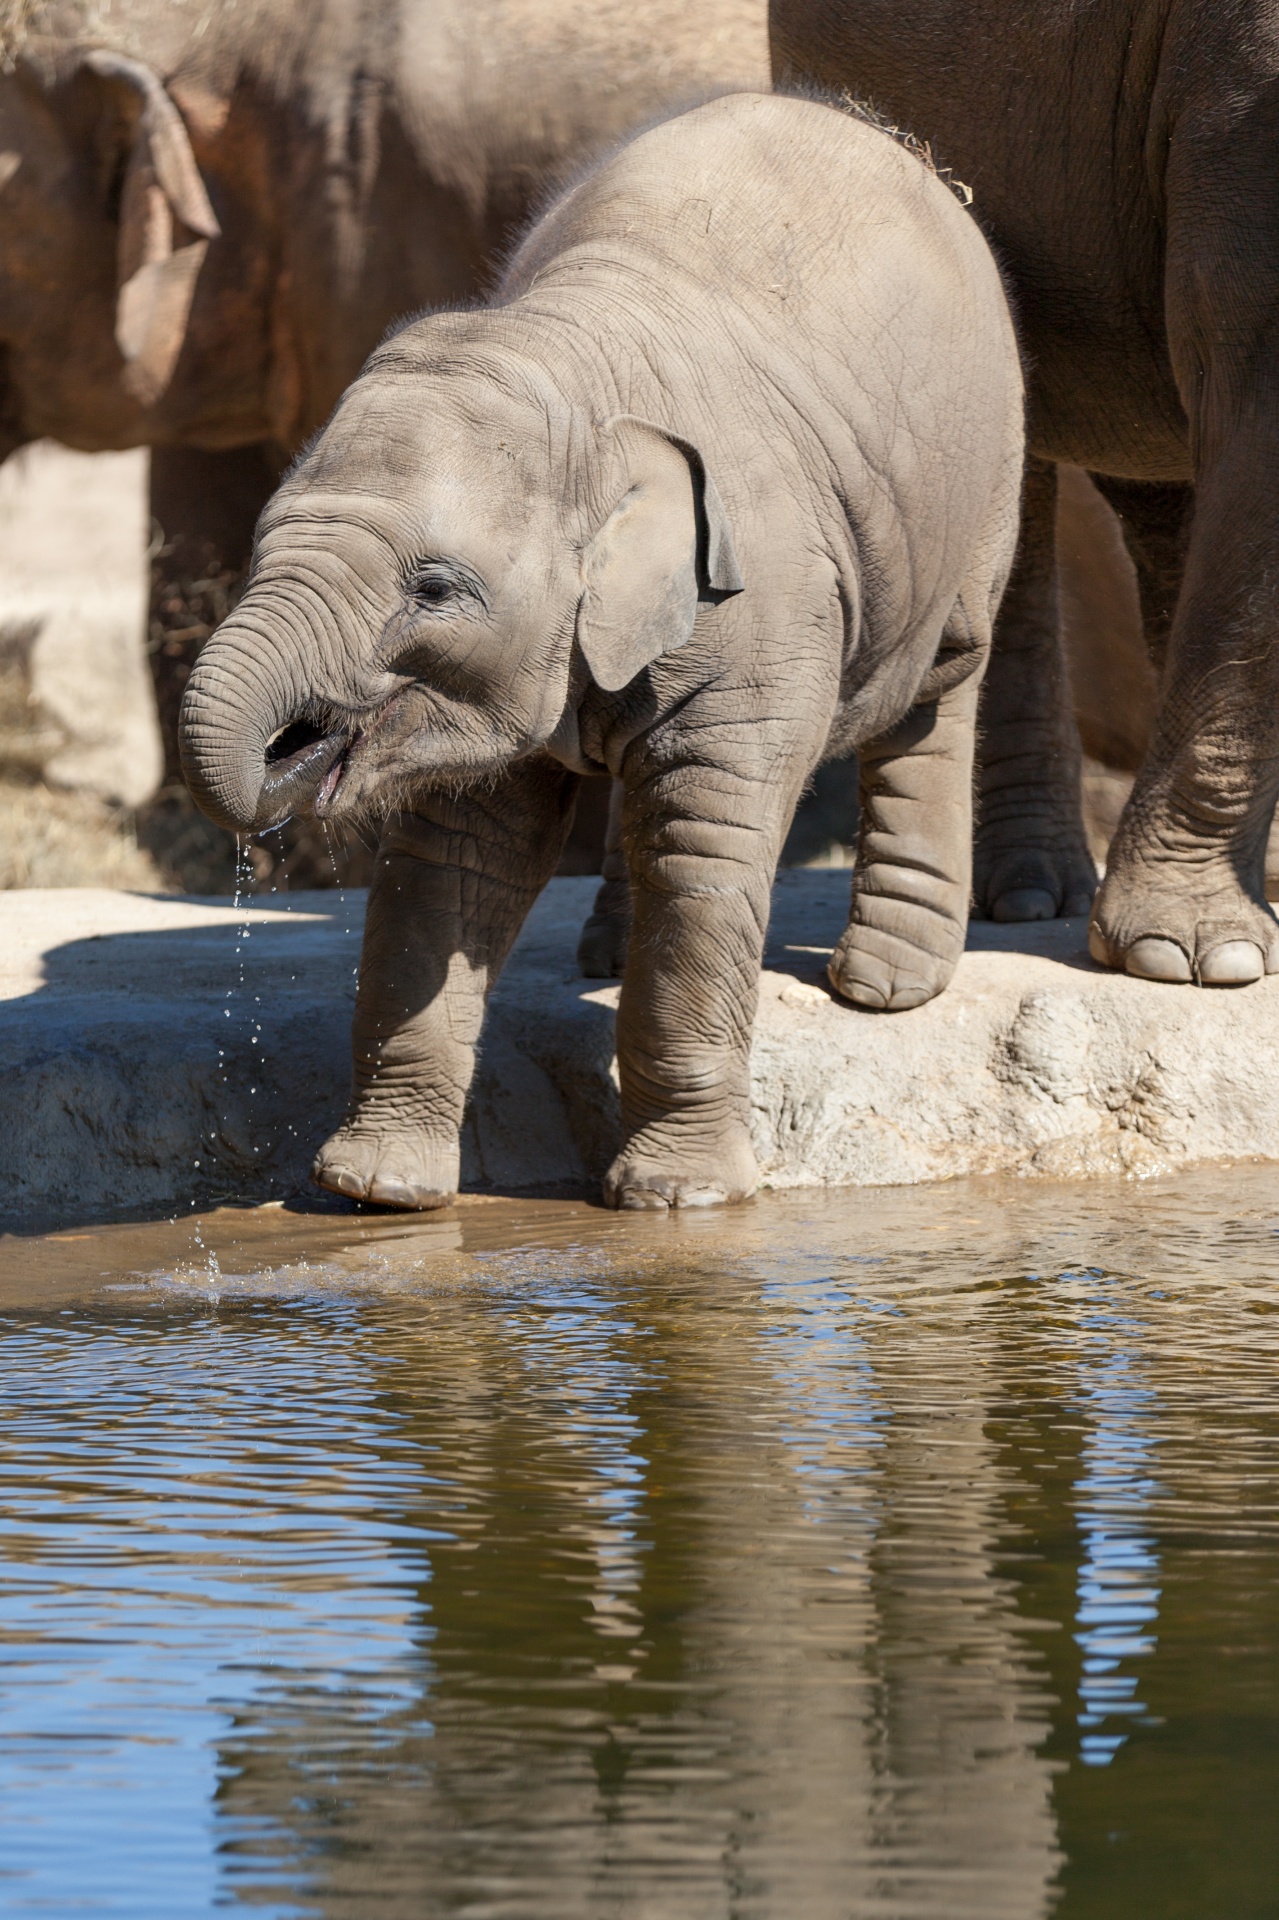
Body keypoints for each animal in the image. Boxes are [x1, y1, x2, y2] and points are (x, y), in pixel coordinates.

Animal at [179, 90, 1021, 1205]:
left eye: (433, 589)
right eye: (261, 543)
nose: (293, 753)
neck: (574, 357)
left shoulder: (763, 601)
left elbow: (702, 846)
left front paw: (678, 1201)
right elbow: (453, 859)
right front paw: (376, 1192)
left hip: (984, 489)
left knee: (939, 688)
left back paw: (886, 987)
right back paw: (609, 954)